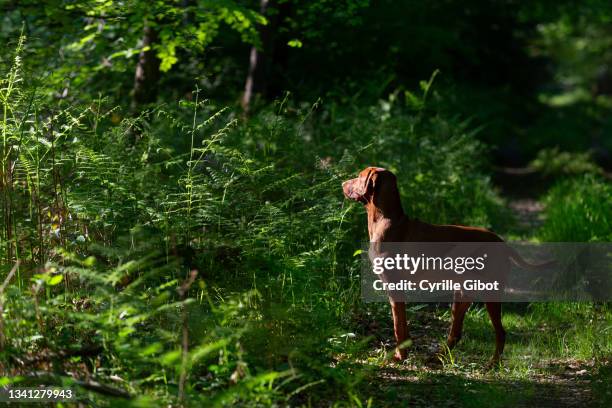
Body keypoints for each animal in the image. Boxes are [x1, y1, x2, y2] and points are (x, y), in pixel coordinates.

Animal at [342, 167, 510, 364]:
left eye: (359, 176)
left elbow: (398, 326)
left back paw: (492, 364)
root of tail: (500, 241)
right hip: (462, 295)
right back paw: (437, 357)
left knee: (500, 332)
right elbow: (402, 325)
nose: (342, 183)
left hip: (491, 292)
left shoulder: (394, 287)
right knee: (456, 333)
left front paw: (399, 356)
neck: (386, 219)